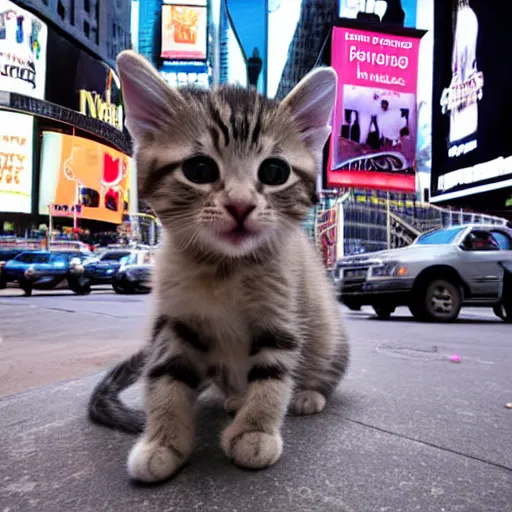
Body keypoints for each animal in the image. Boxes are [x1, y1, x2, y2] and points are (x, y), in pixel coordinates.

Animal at [90, 51, 350, 484]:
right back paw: (233, 399)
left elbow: (272, 377)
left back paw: (307, 393)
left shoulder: (281, 314)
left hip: (330, 334)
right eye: (199, 169)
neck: (224, 268)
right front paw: (163, 441)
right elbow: (165, 377)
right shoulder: (175, 320)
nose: (240, 204)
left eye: (274, 172)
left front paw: (255, 431)